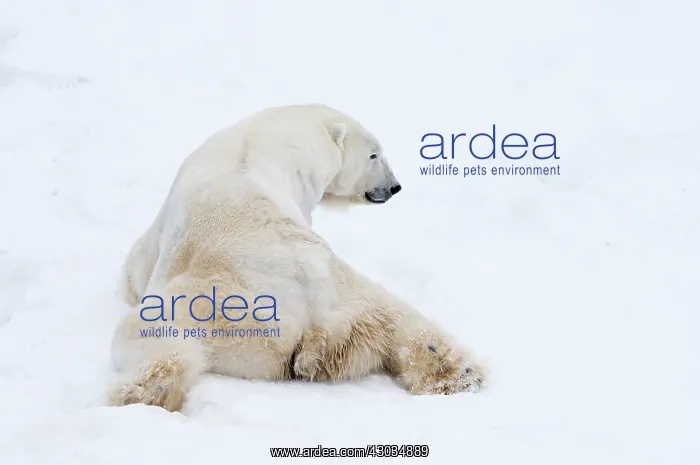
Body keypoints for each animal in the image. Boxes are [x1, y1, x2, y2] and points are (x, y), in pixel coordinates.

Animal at [109, 103, 486, 412]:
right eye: (374, 155)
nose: (394, 187)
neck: (266, 140)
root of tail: (312, 317)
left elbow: (136, 268)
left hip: (220, 307)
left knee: (147, 331)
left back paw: (148, 391)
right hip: (351, 293)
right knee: (404, 318)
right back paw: (458, 372)